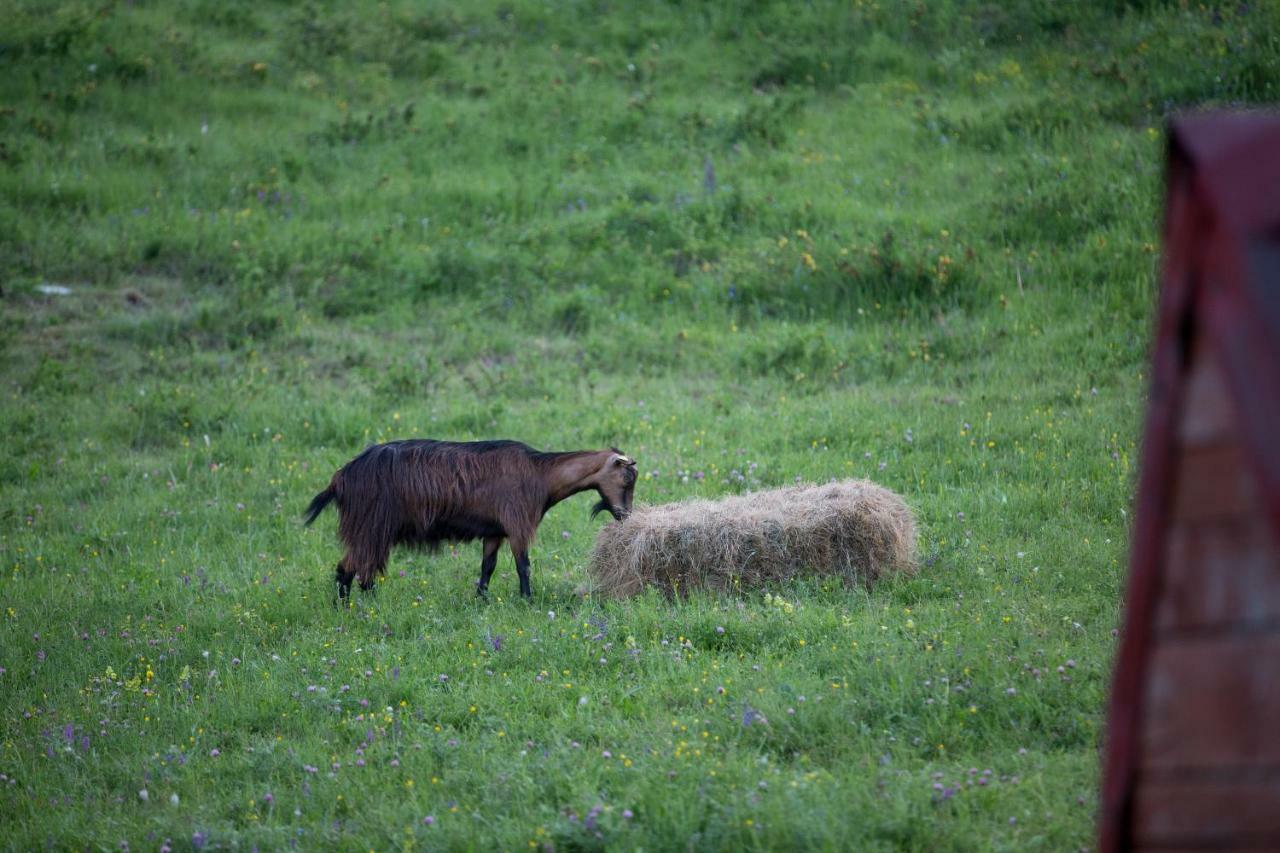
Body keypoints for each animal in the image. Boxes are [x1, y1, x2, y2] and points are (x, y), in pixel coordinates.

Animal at [300, 438, 640, 596]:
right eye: (627, 478)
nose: (624, 515)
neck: (541, 475)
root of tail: (341, 478)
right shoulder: (517, 524)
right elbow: (524, 567)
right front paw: (528, 600)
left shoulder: (494, 531)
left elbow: (487, 567)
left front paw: (482, 599)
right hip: (370, 526)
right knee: (349, 568)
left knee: (361, 570)